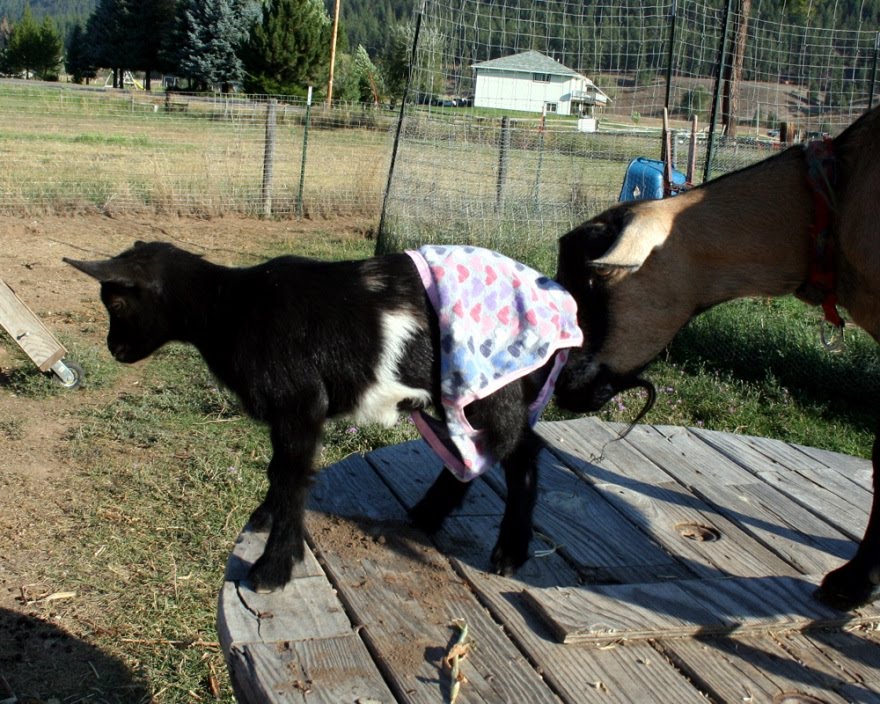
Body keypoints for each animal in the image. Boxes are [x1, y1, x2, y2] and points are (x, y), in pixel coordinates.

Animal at [65, 243, 581, 592]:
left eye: (116, 302)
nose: (115, 350)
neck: (229, 309)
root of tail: (561, 300)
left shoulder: (299, 403)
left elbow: (292, 476)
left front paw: (272, 568)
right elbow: (280, 472)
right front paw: (264, 517)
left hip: (491, 385)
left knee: (521, 451)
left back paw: (510, 552)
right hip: (457, 391)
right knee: (471, 454)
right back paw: (426, 515)